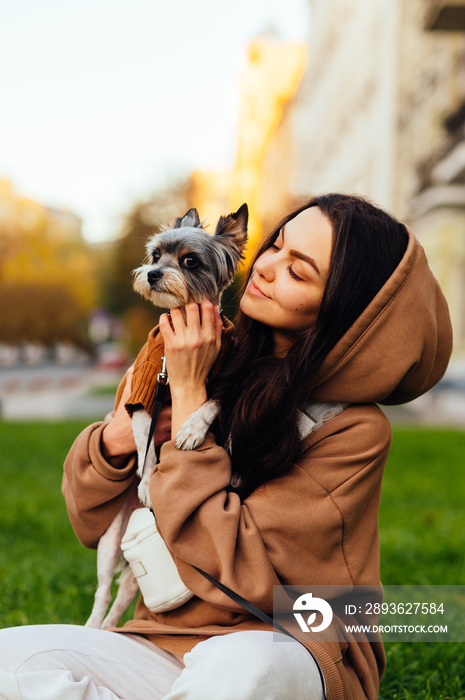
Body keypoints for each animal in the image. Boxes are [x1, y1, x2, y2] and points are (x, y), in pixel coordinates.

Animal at [85, 202, 248, 628]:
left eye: (189, 261)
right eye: (156, 255)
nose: (153, 273)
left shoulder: (226, 383)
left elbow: (213, 407)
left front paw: (193, 430)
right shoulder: (144, 392)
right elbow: (147, 447)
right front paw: (147, 481)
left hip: (131, 570)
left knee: (118, 605)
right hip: (110, 545)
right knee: (102, 593)